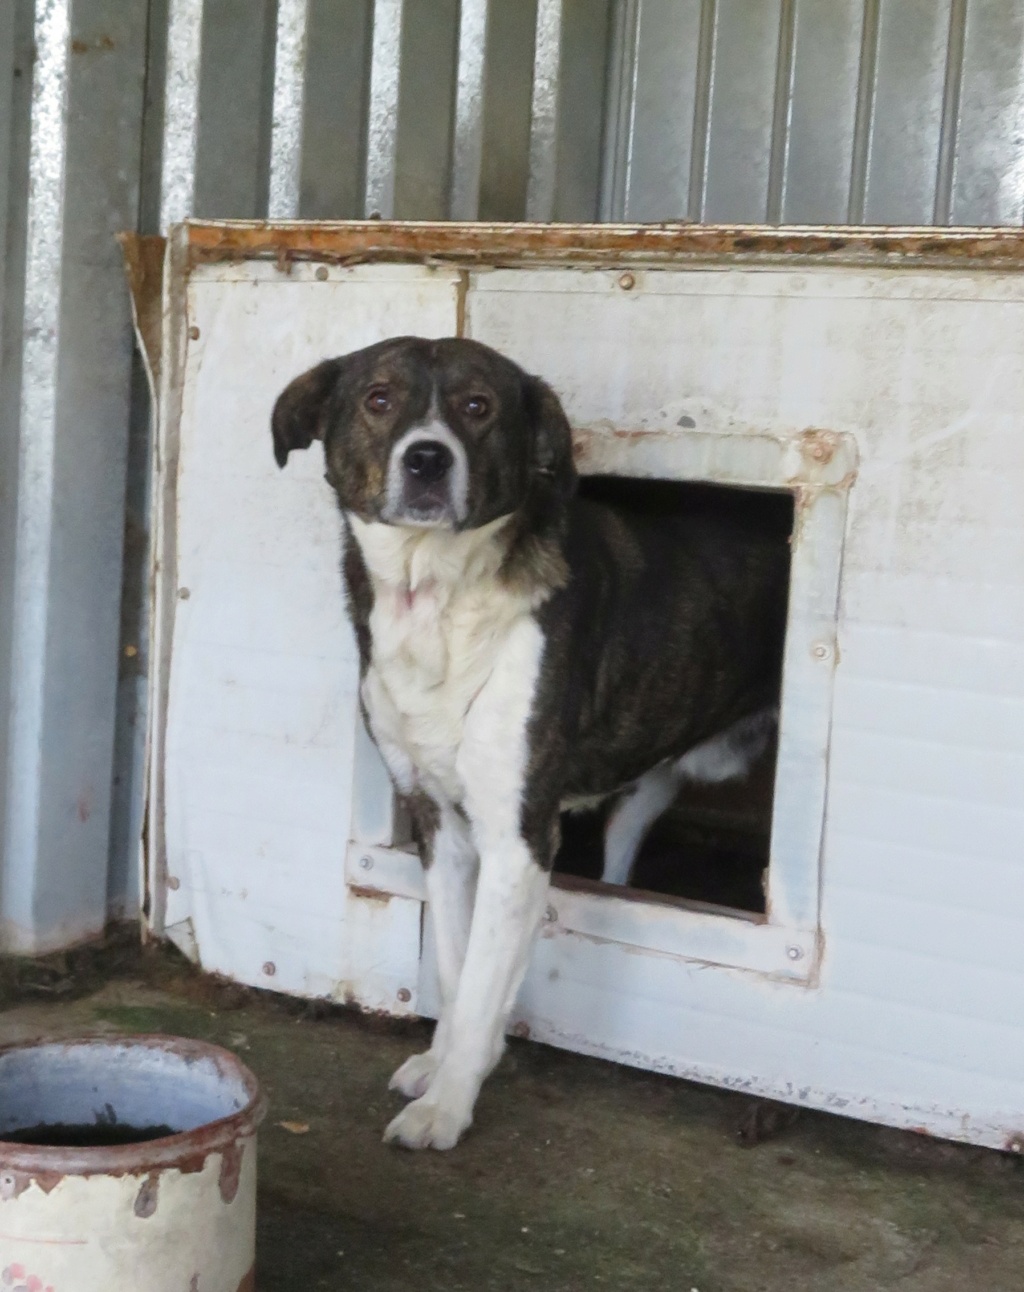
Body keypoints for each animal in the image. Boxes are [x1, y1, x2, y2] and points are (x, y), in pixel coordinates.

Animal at [269, 333, 785, 1152]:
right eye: (379, 399)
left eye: (478, 407)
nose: (427, 459)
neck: (433, 597)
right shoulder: (442, 827)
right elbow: (455, 967)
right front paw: (447, 1063)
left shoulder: (516, 838)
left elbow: (483, 981)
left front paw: (448, 1106)